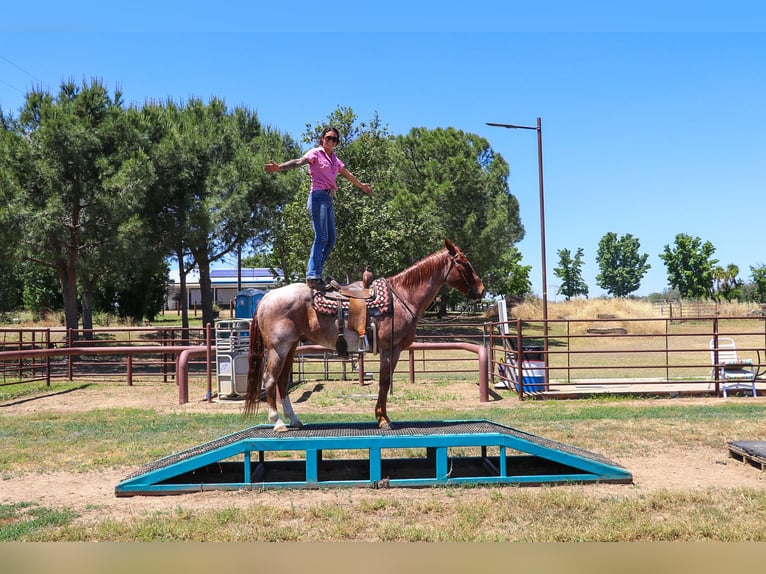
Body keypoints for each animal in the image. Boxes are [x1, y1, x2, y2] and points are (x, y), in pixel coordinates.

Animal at [244, 238, 486, 432]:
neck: (402, 297)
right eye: (464, 263)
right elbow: (384, 382)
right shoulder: (390, 349)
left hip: (292, 346)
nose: (482, 290)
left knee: (282, 381)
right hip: (278, 348)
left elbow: (384, 382)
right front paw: (383, 419)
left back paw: (294, 419)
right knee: (270, 379)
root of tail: (267, 297)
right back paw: (278, 422)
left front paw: (381, 416)